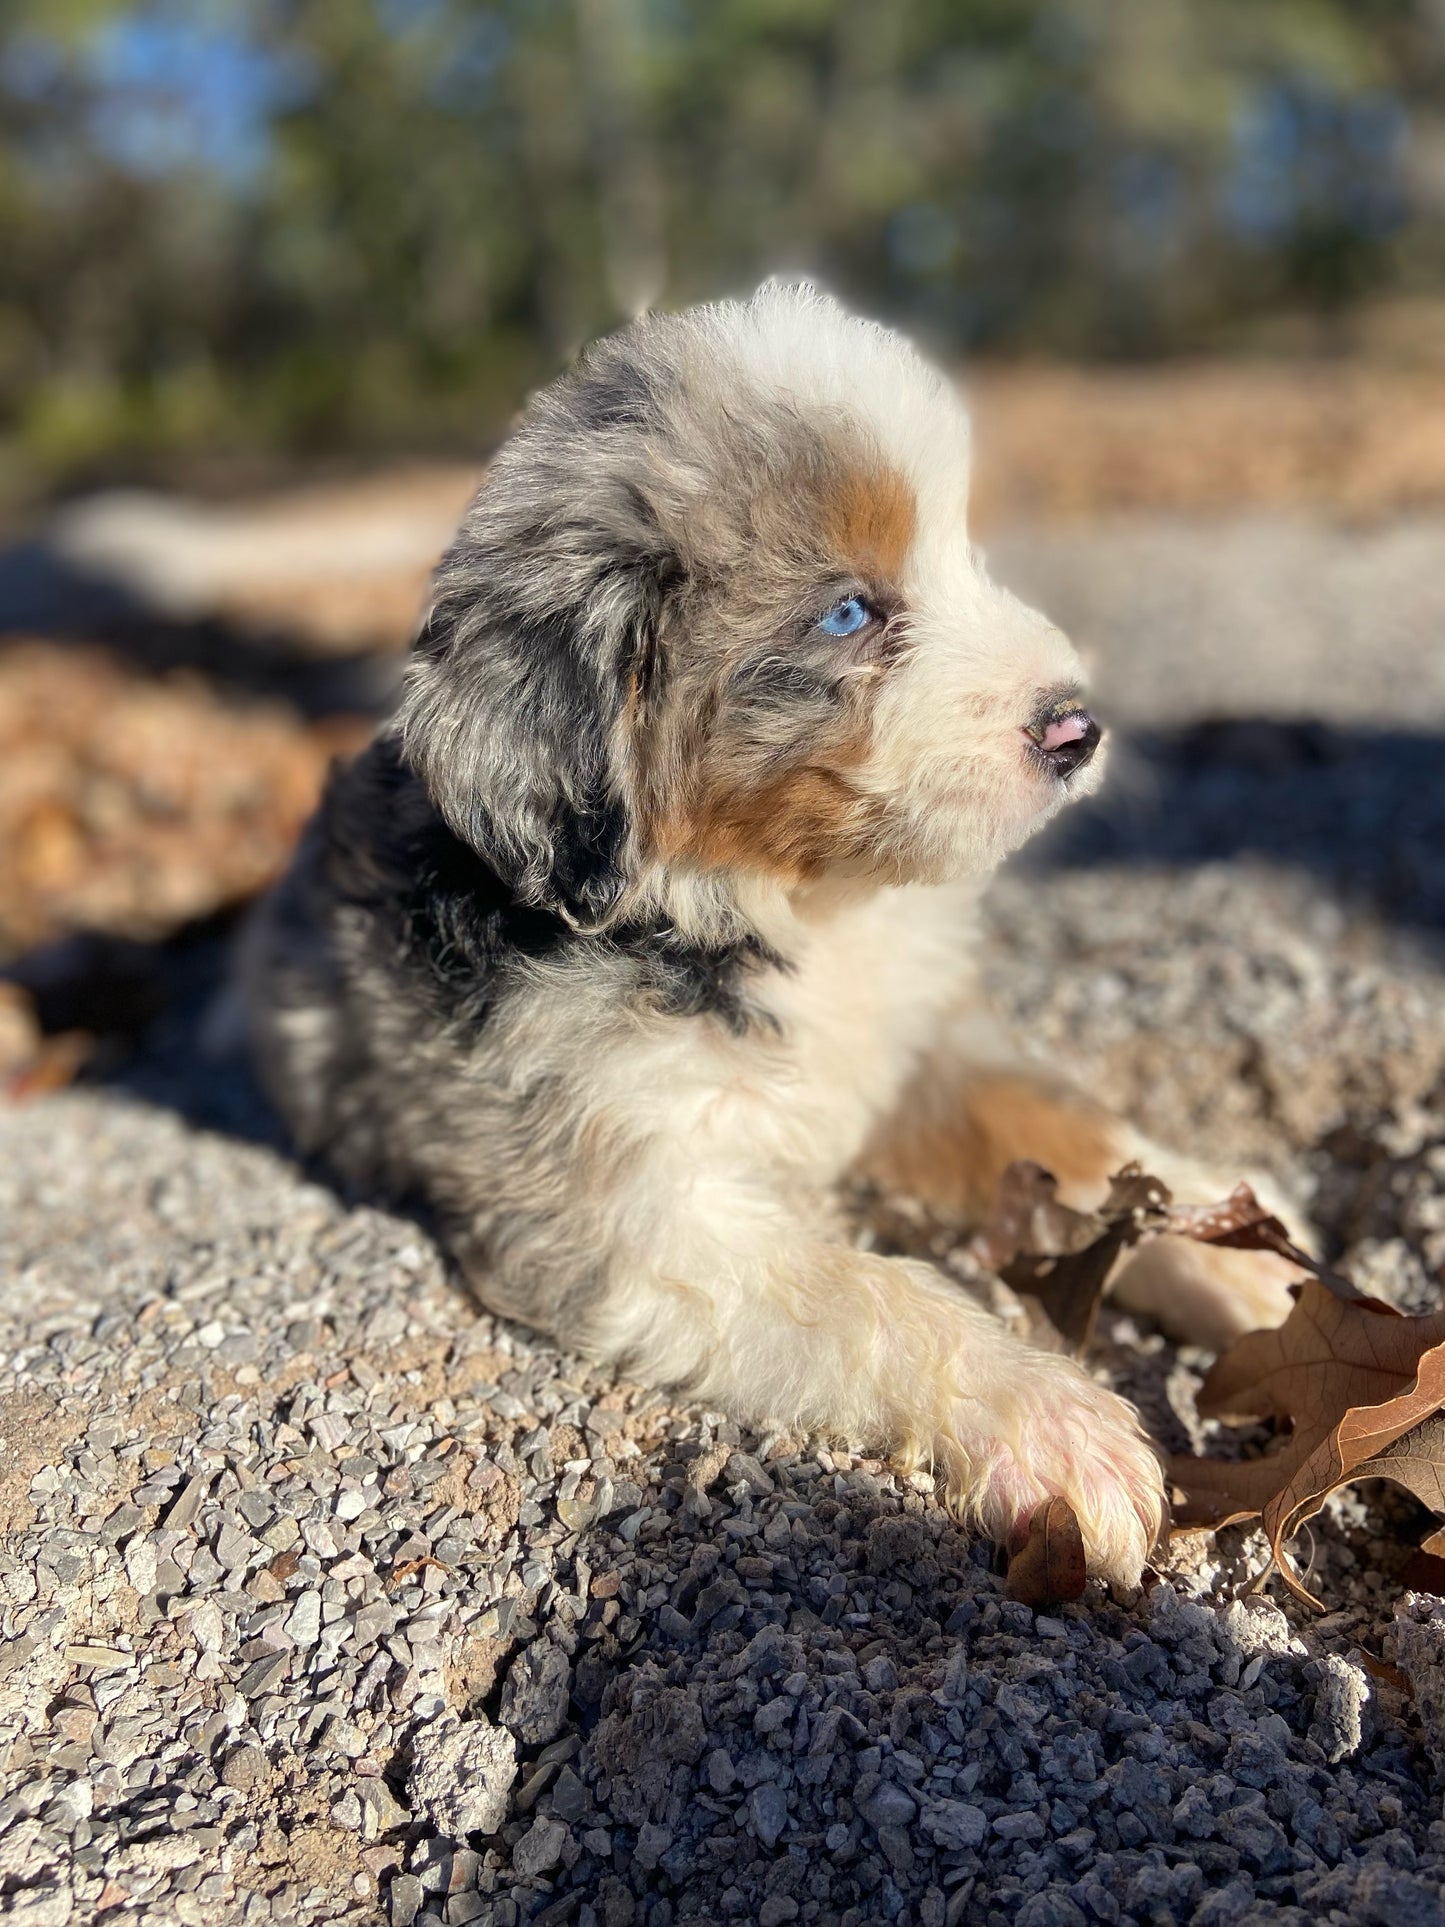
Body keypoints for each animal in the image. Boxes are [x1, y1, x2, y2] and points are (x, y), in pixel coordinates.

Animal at [243, 281, 1294, 1580]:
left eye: (962, 551)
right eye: (847, 612)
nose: (1076, 725)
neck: (787, 901)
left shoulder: (919, 1050)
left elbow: (1072, 1130)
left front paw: (1236, 1248)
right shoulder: (639, 1212)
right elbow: (879, 1296)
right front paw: (1056, 1423)